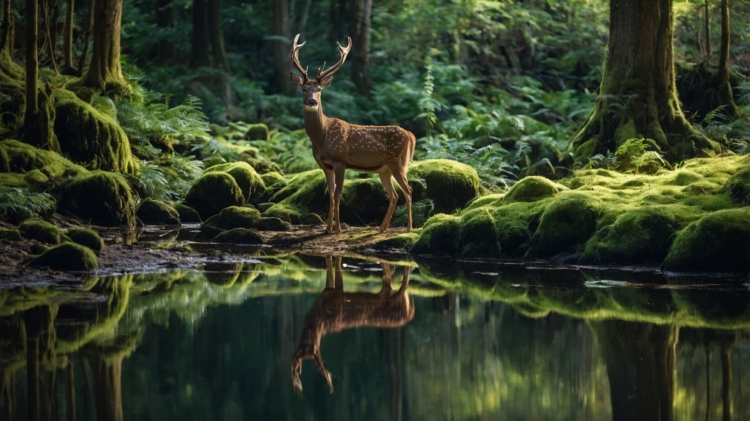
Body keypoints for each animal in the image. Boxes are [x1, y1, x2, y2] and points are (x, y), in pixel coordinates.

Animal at [289, 34, 416, 235]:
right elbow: (330, 195)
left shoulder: (340, 160)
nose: (312, 101)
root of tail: (412, 136)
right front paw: (327, 229)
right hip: (385, 169)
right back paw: (382, 228)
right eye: (303, 89)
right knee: (395, 194)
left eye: (319, 90)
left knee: (409, 190)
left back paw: (409, 228)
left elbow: (338, 194)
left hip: (399, 162)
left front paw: (338, 229)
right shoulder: (325, 165)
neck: (321, 138)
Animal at [290, 256, 414, 394]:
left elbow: (336, 264)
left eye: (313, 348)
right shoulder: (328, 290)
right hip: (388, 291)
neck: (320, 318)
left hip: (395, 297)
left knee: (400, 284)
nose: (309, 338)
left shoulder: (337, 296)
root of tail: (408, 314)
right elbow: (330, 262)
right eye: (302, 349)